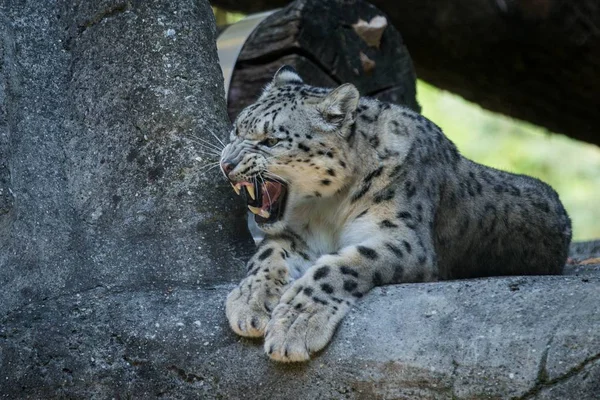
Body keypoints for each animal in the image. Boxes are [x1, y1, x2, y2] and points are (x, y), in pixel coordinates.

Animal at [217, 65, 572, 362]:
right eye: (235, 130)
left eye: (271, 140)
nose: (226, 164)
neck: (328, 209)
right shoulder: (297, 234)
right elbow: (268, 255)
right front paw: (249, 303)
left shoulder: (403, 238)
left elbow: (339, 267)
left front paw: (294, 325)